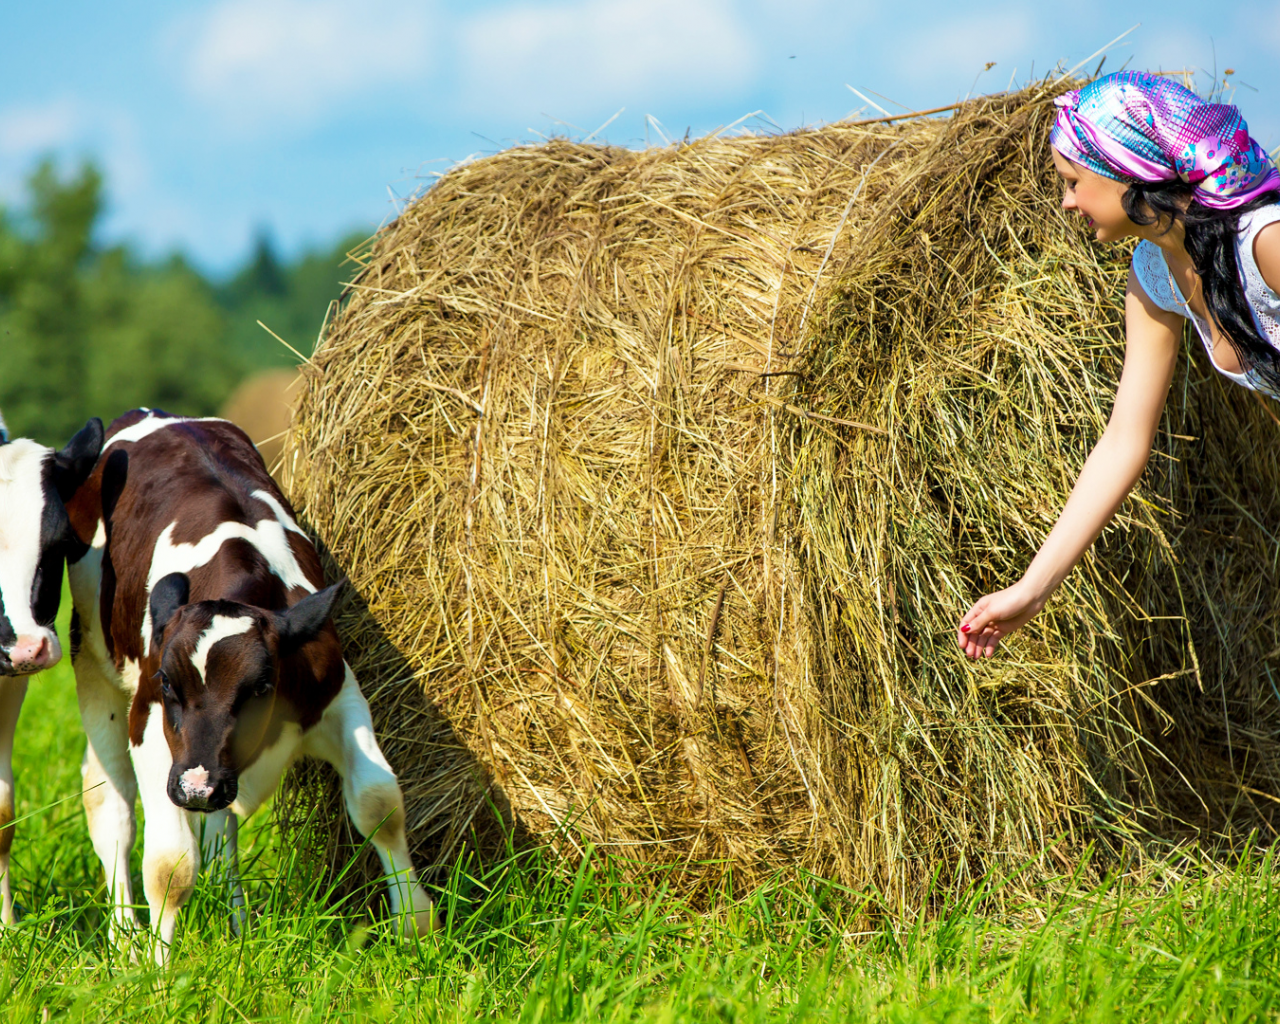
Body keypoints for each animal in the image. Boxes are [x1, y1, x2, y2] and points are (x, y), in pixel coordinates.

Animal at [64, 409, 435, 962]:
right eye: (167, 683)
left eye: (263, 686)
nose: (196, 786)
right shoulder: (153, 730)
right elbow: (171, 865)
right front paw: (157, 963)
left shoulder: (340, 698)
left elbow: (378, 803)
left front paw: (416, 925)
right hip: (93, 668)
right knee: (111, 807)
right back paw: (124, 940)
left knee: (222, 835)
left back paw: (237, 931)